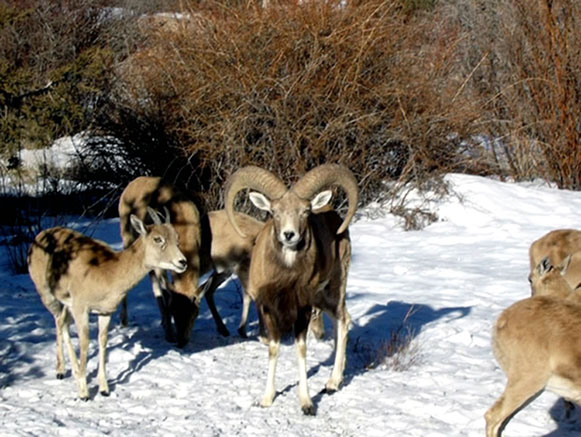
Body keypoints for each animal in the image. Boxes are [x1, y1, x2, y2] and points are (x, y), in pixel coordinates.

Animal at [28, 209, 186, 400]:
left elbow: (102, 341)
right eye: (157, 239)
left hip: (66, 303)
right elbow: (85, 342)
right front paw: (84, 392)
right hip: (46, 293)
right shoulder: (81, 307)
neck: (107, 274)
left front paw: (104, 389)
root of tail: (39, 237)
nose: (182, 262)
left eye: (176, 237)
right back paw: (64, 371)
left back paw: (65, 369)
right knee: (59, 322)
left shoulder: (105, 311)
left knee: (62, 322)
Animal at [223, 162, 356, 414]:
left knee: (343, 321)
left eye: (305, 211)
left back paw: (332, 383)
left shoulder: (302, 310)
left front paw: (307, 404)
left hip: (334, 289)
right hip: (322, 298)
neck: (285, 280)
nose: (289, 235)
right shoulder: (268, 309)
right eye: (274, 212)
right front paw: (266, 399)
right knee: (341, 321)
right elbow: (274, 349)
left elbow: (301, 349)